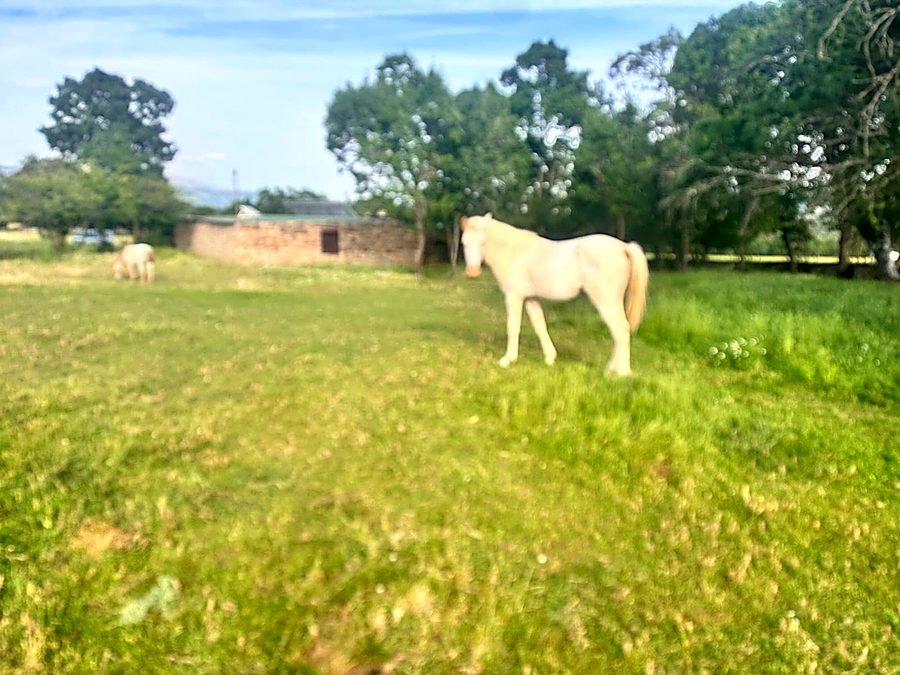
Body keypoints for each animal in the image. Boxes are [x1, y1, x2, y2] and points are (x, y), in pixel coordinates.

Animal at [460, 213, 649, 375]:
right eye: (464, 243)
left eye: (482, 241)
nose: (472, 272)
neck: (514, 252)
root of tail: (624, 247)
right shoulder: (530, 298)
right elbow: (540, 326)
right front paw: (550, 358)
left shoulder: (514, 297)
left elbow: (513, 327)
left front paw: (507, 360)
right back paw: (612, 369)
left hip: (606, 301)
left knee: (620, 329)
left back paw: (621, 373)